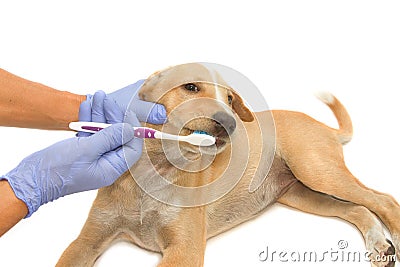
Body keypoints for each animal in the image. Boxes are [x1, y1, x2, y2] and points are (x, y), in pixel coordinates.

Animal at [57, 63, 400, 266]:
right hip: (301, 193)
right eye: (191, 87)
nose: (230, 122)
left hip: (317, 171)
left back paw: (392, 237)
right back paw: (379, 245)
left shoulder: (184, 249)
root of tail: (322, 126)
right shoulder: (87, 240)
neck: (155, 171)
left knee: (383, 200)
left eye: (231, 99)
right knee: (357, 209)